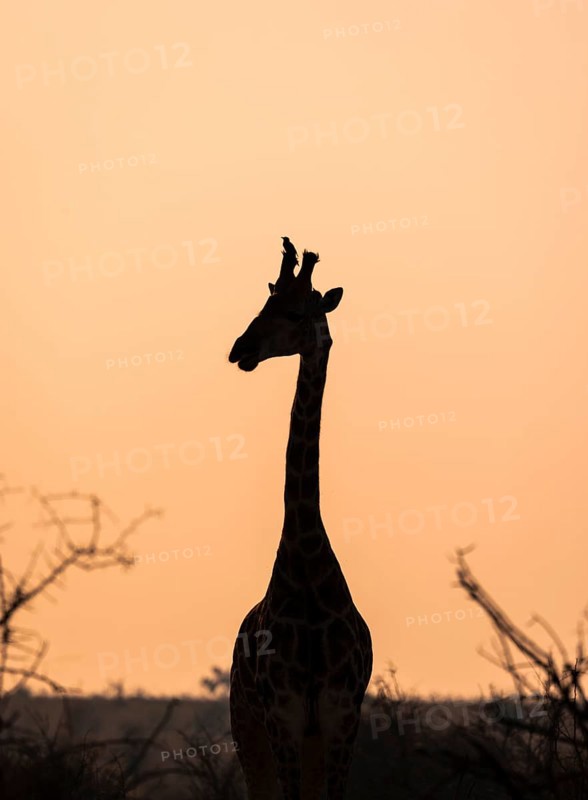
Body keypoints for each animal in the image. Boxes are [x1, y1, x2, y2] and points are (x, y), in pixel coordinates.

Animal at [227, 237, 373, 800]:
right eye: (264, 302)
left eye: (293, 312)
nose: (239, 349)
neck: (307, 560)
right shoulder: (283, 719)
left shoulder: (339, 720)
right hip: (247, 729)